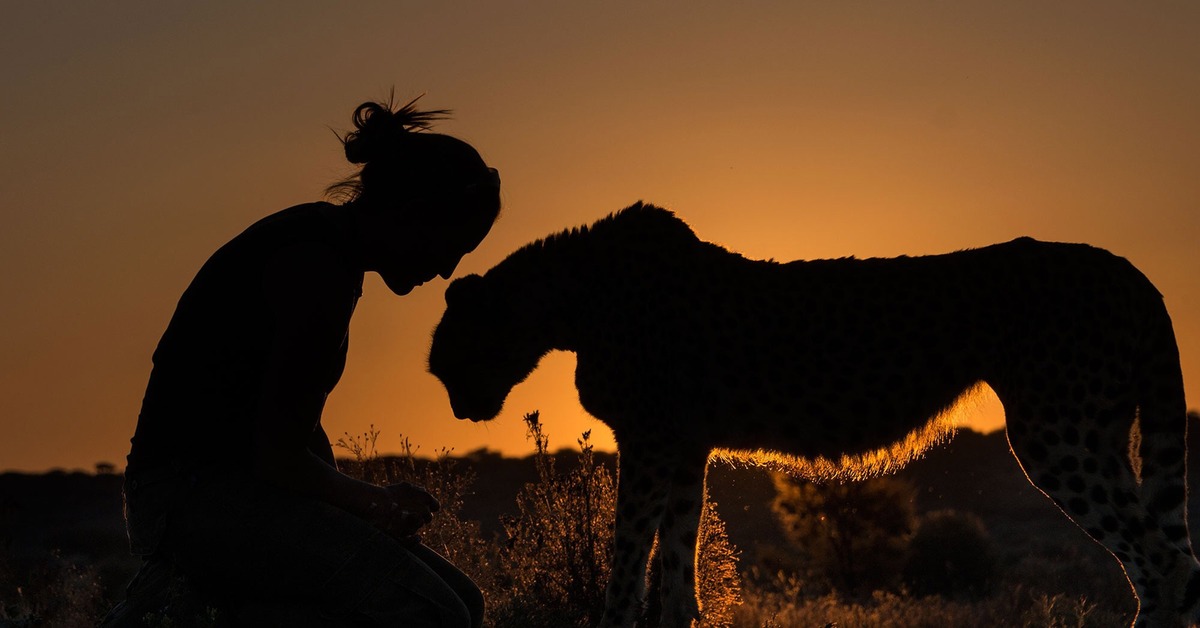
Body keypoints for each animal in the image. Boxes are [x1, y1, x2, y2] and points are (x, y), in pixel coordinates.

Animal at [427, 202, 1195, 628]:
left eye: (446, 359)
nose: (460, 409)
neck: (574, 297)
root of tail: (1128, 268)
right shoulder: (684, 447)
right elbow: (675, 565)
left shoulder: (649, 441)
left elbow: (626, 558)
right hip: (1098, 432)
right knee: (1170, 556)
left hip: (1056, 434)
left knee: (1160, 558)